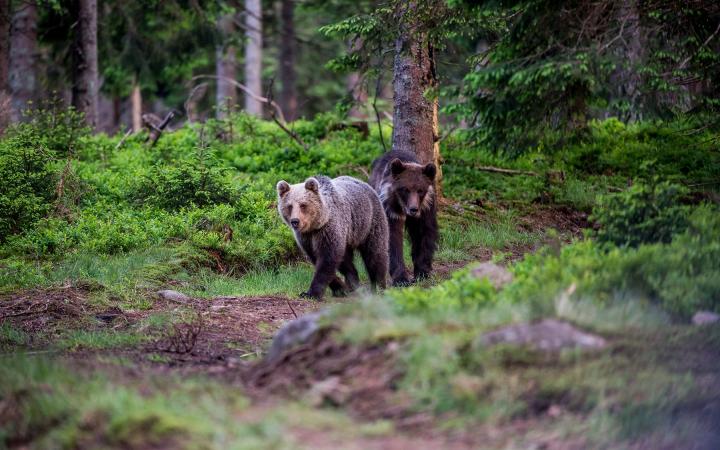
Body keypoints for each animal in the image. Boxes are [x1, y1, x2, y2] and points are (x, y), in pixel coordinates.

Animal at [372, 150, 438, 284]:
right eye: (405, 189)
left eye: (420, 190)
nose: (413, 209)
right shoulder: (390, 209)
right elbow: (393, 237)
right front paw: (401, 278)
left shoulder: (425, 209)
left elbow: (424, 234)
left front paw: (422, 272)